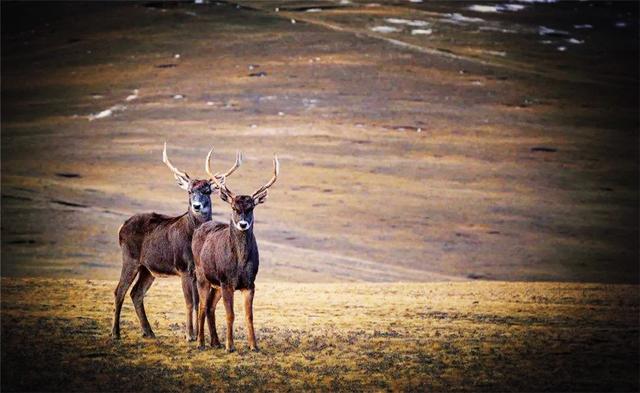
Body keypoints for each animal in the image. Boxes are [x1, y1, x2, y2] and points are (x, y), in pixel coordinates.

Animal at [110, 142, 242, 338]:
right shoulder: (183, 267)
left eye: (207, 191)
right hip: (130, 258)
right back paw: (116, 333)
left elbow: (198, 302)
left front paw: (199, 335)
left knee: (136, 293)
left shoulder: (197, 271)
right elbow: (190, 302)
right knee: (119, 290)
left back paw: (148, 331)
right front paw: (190, 335)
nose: (196, 205)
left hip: (148, 269)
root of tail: (121, 228)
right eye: (189, 191)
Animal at [191, 152, 278, 350]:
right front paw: (230, 346)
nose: (243, 224)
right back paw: (200, 342)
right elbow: (230, 314)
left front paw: (254, 346)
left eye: (251, 207)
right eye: (233, 207)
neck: (239, 262)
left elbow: (249, 315)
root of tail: (199, 228)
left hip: (216, 284)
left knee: (210, 306)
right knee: (201, 307)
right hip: (202, 275)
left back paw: (215, 342)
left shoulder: (250, 283)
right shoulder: (226, 281)